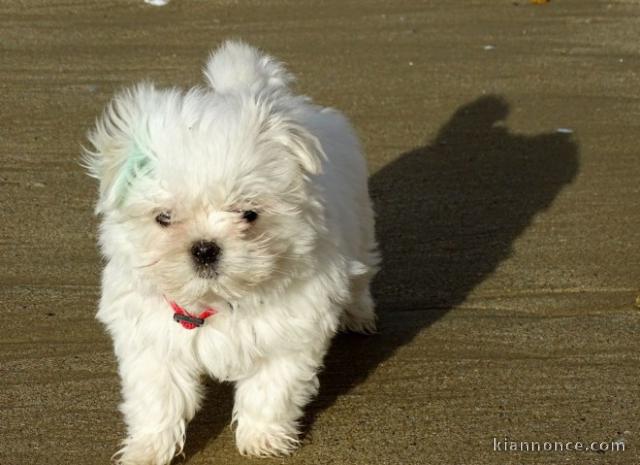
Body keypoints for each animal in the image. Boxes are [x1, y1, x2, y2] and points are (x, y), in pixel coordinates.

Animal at [82, 40, 378, 464]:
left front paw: (262, 438)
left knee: (361, 273)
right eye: (164, 218)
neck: (217, 301)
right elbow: (157, 397)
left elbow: (271, 389)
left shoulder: (287, 334)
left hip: (359, 222)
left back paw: (358, 314)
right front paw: (148, 447)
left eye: (248, 214)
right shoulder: (153, 340)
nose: (205, 249)